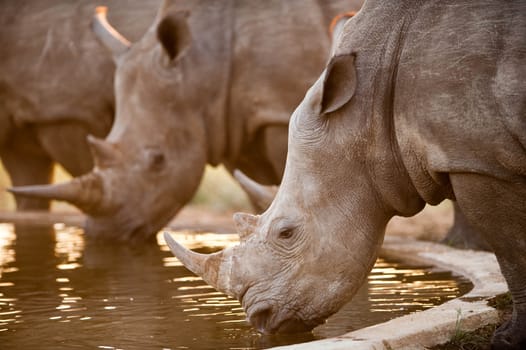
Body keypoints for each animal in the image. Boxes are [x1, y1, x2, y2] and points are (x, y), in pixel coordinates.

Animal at [165, 1, 526, 348]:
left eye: (286, 233)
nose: (260, 319)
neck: (369, 113)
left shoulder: (477, 159)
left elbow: (512, 250)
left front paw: (508, 338)